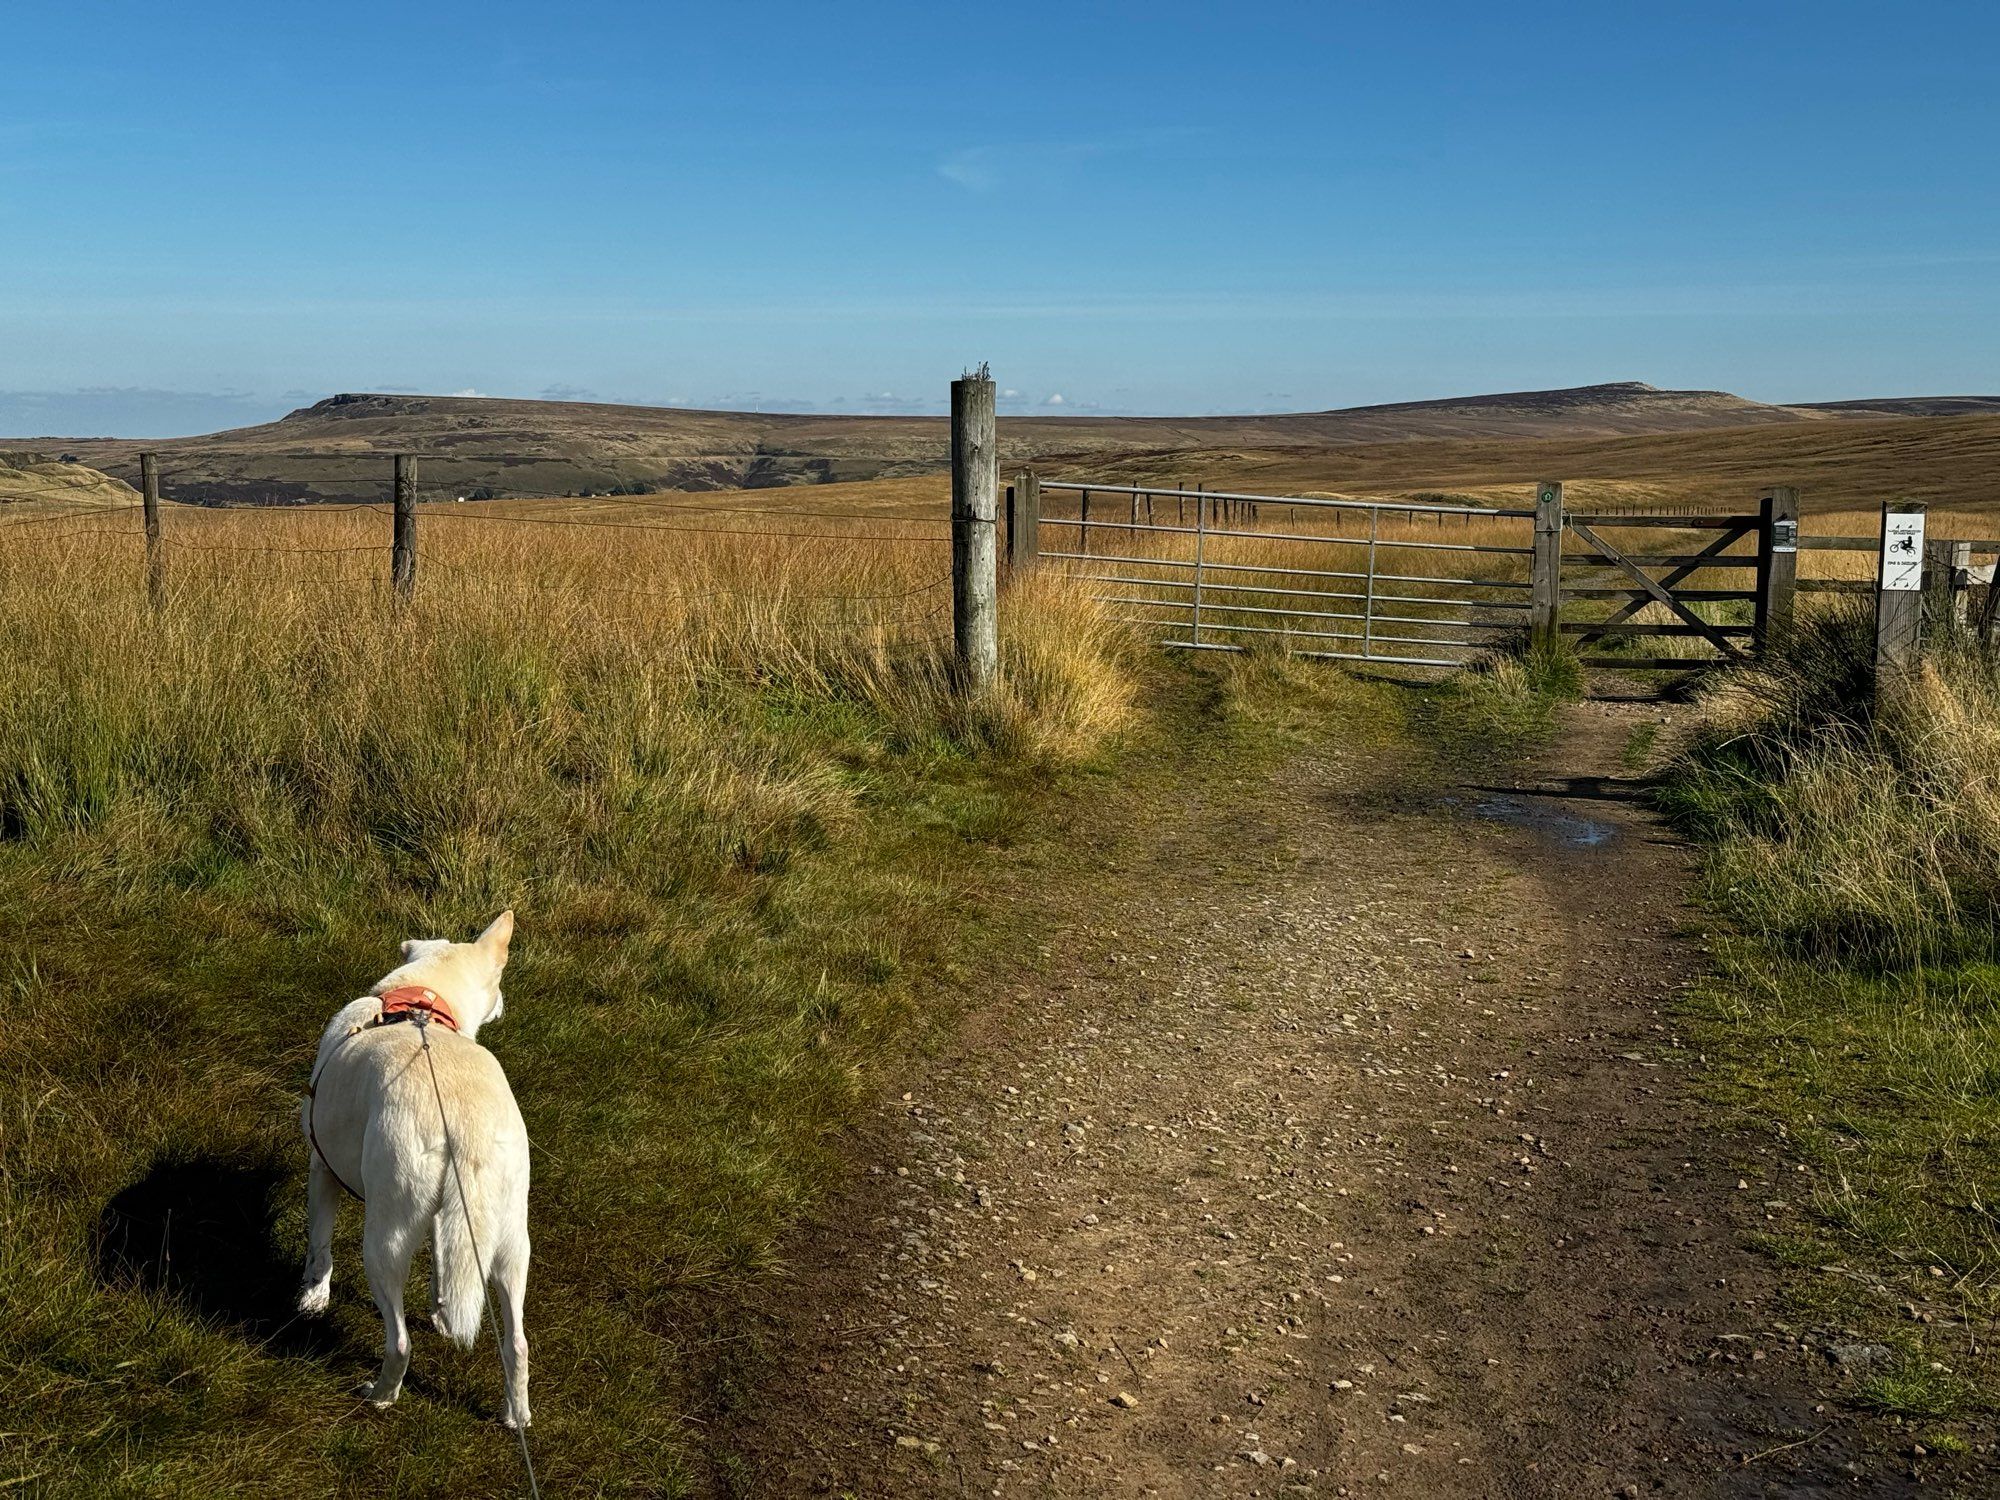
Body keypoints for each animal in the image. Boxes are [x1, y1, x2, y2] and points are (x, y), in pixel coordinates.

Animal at [296, 912, 532, 1424]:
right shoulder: (450, 1219)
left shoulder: (321, 1168)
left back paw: (381, 1394)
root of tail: (464, 1123)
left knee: (400, 1342)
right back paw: (516, 1415)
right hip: (511, 1242)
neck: (422, 997)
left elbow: (319, 1247)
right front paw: (441, 1312)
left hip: (383, 1240)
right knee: (517, 1344)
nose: (506, 1004)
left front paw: (312, 1298)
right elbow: (443, 1264)